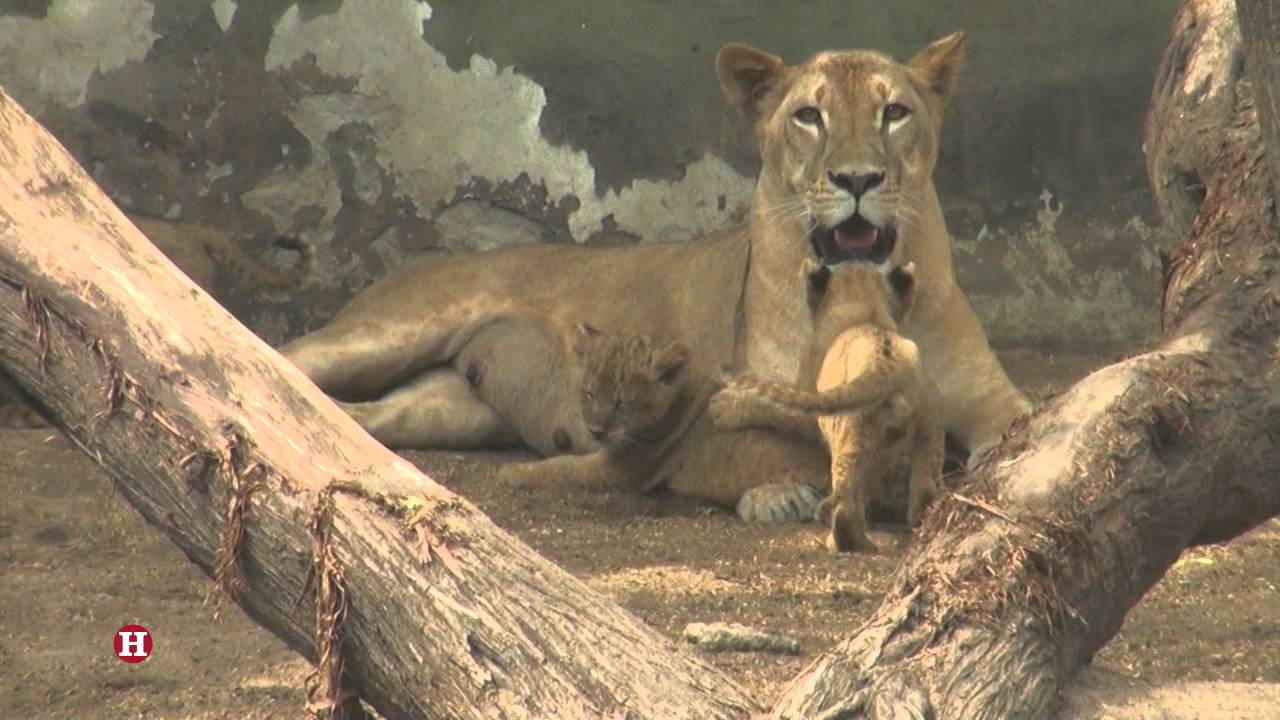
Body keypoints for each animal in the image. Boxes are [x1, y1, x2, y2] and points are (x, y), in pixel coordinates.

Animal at [280, 32, 1030, 520]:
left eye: (894, 112)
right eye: (808, 117)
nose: (857, 179)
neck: (864, 292)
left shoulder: (994, 400)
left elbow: (1019, 431)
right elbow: (773, 434)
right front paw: (778, 494)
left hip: (446, 409)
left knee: (355, 417)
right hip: (379, 337)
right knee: (283, 362)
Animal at [711, 260, 943, 551]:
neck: (865, 310)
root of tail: (890, 363)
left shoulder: (818, 403)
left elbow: (782, 405)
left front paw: (727, 404)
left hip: (846, 424)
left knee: (847, 499)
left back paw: (842, 536)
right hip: (930, 428)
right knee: (924, 493)